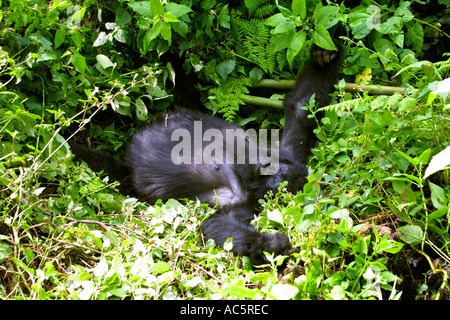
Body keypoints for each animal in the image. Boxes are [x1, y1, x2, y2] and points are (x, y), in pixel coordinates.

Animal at [72, 41, 342, 264]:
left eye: (278, 180)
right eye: (274, 168)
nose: (266, 167)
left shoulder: (239, 201)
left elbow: (215, 225)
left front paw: (272, 245)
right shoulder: (281, 150)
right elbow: (301, 108)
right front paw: (323, 55)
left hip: (125, 173)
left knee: (104, 166)